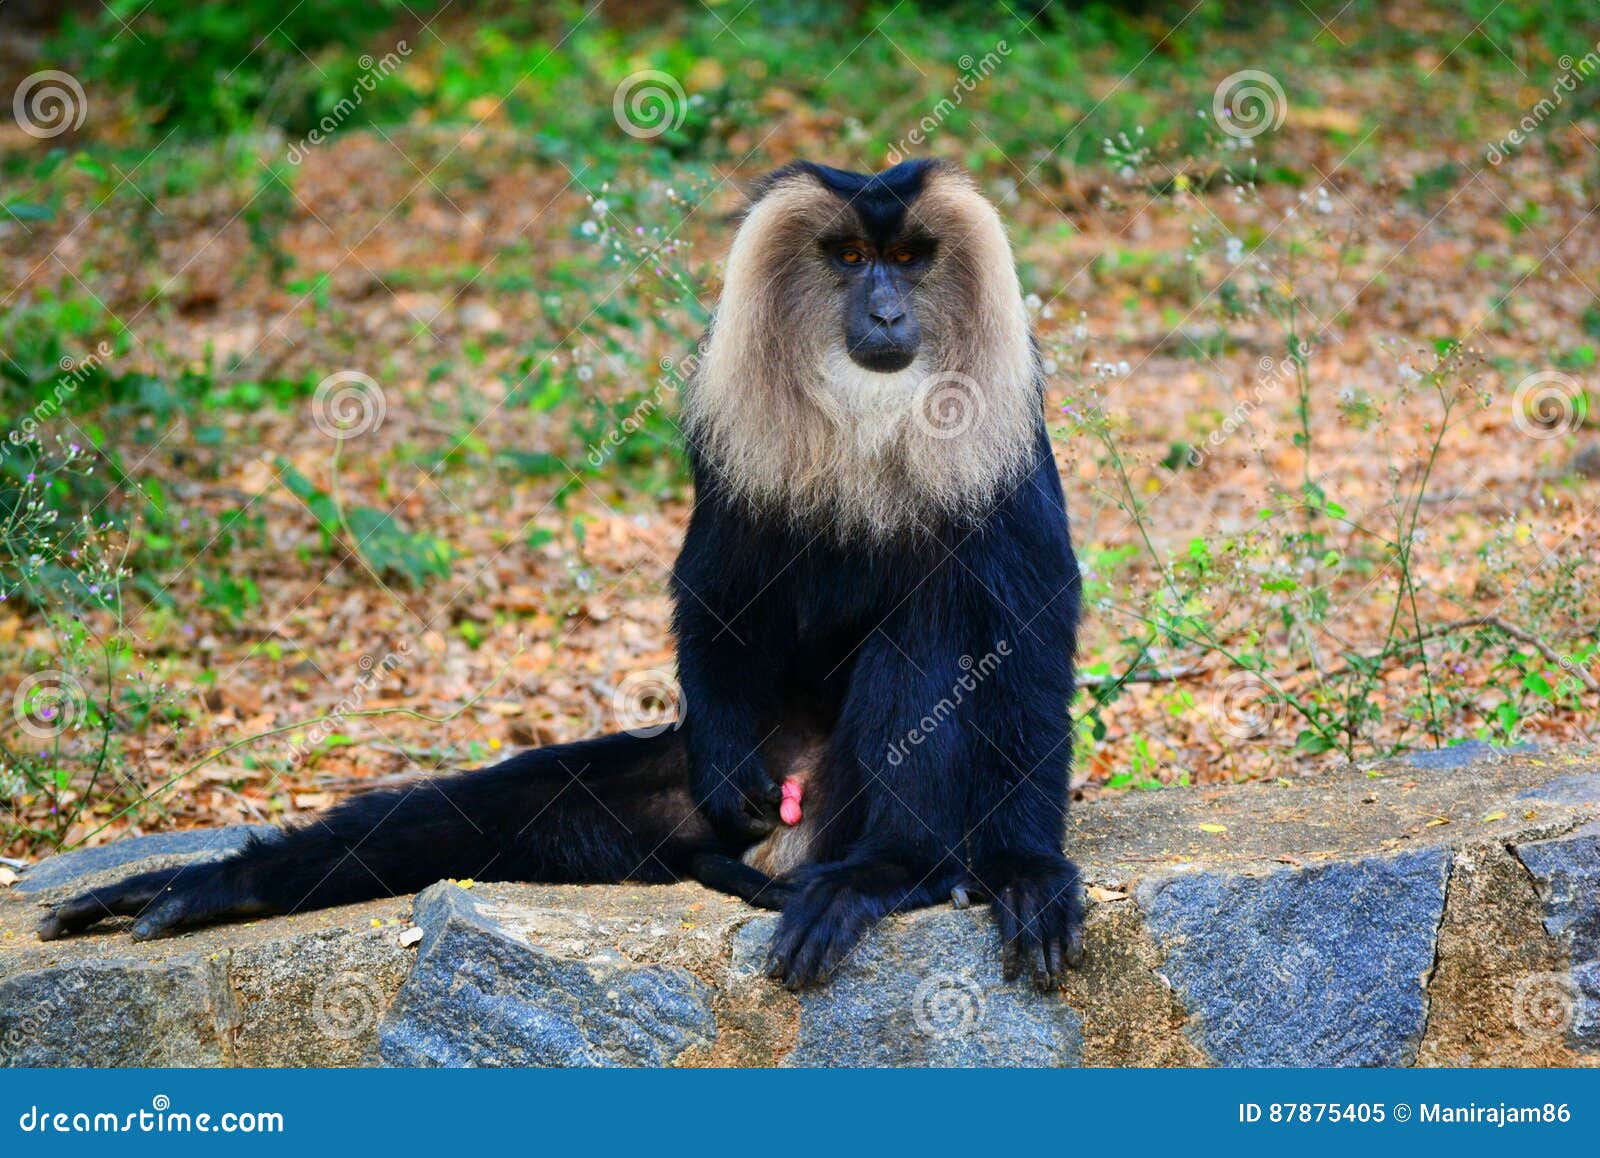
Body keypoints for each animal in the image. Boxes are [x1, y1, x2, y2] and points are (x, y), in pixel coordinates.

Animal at [37, 159, 1084, 991]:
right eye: (852, 258)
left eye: (910, 260)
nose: (886, 310)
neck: (874, 415)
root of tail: (793, 837)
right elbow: (716, 593)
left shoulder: (1005, 453)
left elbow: (1023, 640)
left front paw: (1026, 869)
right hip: (696, 802)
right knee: (495, 809)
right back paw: (216, 887)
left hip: (852, 809)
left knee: (930, 634)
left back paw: (879, 876)